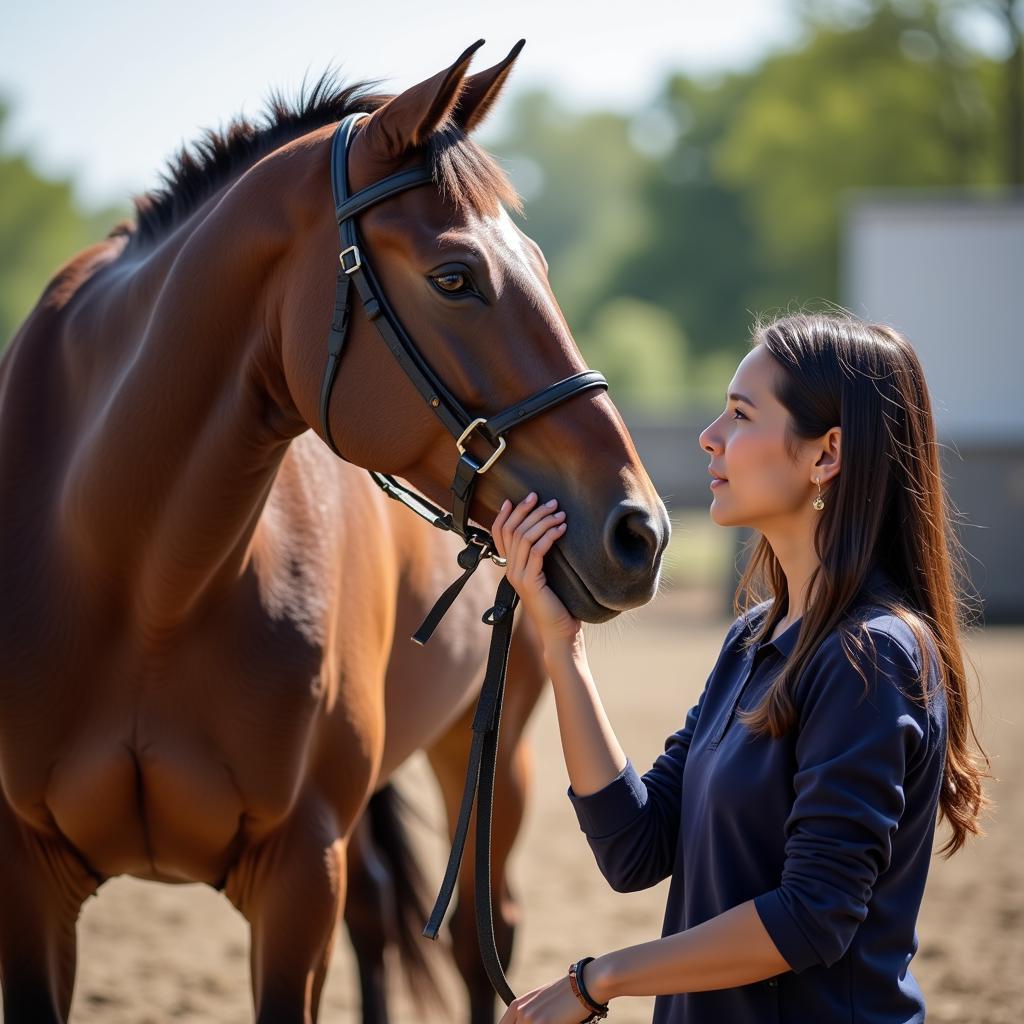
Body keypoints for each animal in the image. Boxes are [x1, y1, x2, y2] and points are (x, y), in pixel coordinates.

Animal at [0, 41, 667, 1024]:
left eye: (541, 264)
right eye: (455, 277)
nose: (639, 531)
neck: (141, 586)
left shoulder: (297, 875)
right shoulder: (30, 875)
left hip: (490, 754)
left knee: (481, 939)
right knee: (382, 917)